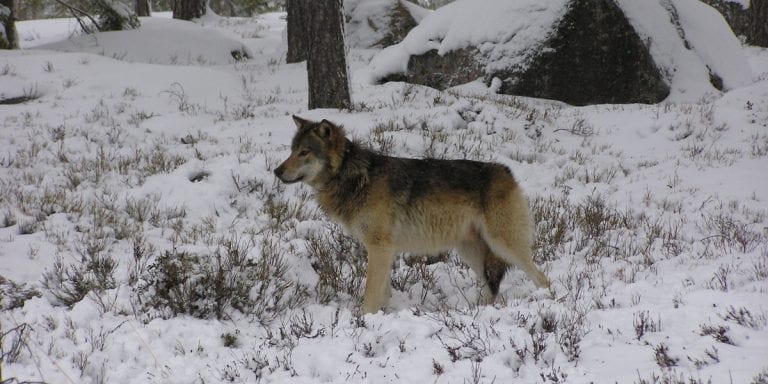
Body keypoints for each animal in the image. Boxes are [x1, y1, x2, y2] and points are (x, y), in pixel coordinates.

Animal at [276, 115, 552, 314]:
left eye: (304, 152)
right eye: (291, 150)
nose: (277, 171)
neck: (352, 176)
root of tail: (508, 172)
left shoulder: (380, 246)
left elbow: (371, 292)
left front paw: (364, 320)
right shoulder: (383, 249)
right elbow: (383, 292)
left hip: (503, 245)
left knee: (542, 279)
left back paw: (545, 301)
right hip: (471, 252)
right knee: (492, 289)